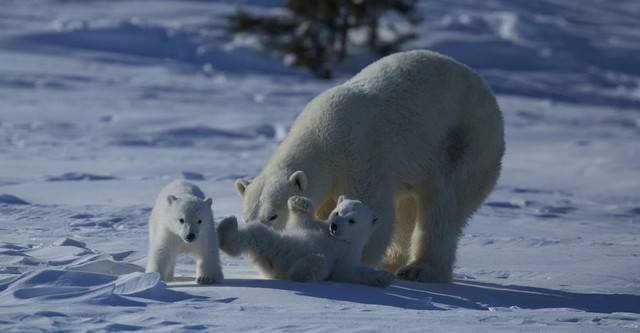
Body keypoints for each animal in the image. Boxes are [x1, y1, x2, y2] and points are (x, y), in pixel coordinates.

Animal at [218, 196, 392, 286]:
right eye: (337, 212)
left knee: (320, 267)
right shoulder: (316, 226)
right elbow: (300, 222)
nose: (334, 226)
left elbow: (347, 271)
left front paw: (384, 276)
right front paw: (298, 201)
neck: (338, 239)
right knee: (256, 232)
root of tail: (275, 269)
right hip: (274, 243)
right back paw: (227, 229)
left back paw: (310, 264)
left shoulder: (349, 253)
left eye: (352, 220)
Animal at [235, 50, 504, 282]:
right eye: (247, 217)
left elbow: (371, 208)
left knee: (443, 209)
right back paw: (393, 261)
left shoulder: (358, 155)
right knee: (407, 209)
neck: (321, 136)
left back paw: (421, 270)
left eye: (273, 215)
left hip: (464, 145)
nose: (256, 229)